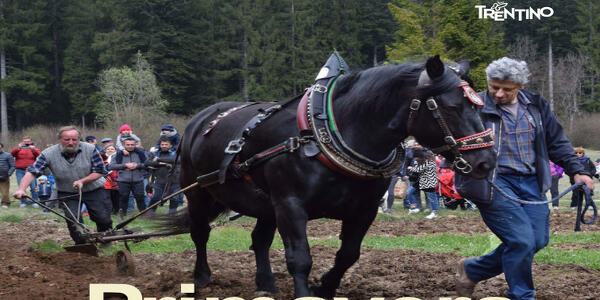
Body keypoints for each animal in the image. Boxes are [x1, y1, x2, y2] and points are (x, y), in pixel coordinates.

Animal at [171, 55, 494, 298]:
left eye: (477, 105)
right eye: (451, 107)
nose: (485, 162)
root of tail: (202, 119)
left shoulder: (363, 211)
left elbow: (348, 254)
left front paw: (324, 287)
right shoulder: (290, 205)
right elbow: (300, 258)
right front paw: (305, 293)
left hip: (265, 205)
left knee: (259, 240)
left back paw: (266, 284)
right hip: (198, 192)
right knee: (200, 233)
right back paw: (201, 279)